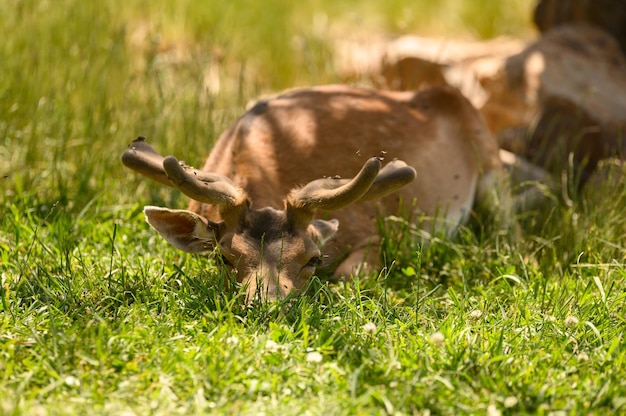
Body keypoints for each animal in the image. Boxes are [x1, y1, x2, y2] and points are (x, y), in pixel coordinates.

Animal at [120, 83, 508, 302]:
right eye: (224, 259)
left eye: (312, 259)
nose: (268, 304)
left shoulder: (374, 229)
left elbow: (350, 273)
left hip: (493, 171)